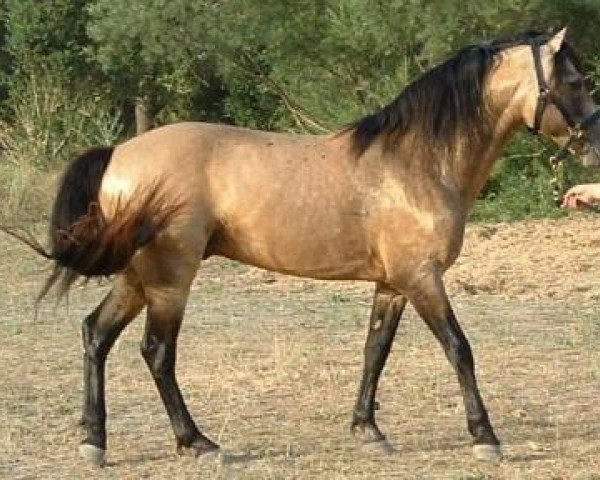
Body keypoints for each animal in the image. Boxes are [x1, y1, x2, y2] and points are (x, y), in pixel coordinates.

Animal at [4, 27, 600, 464]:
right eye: (574, 79)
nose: (594, 142)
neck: (417, 163)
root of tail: (119, 153)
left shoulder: (393, 284)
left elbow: (374, 351)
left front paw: (367, 429)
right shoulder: (422, 278)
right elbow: (459, 348)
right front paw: (485, 437)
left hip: (138, 276)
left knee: (96, 334)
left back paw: (94, 441)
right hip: (170, 278)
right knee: (156, 352)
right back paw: (198, 443)